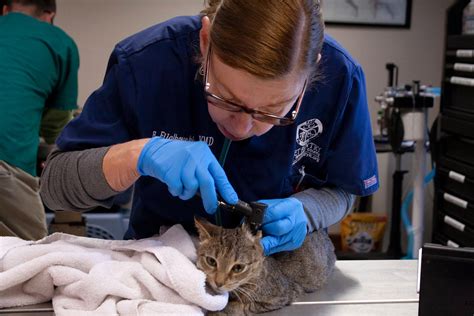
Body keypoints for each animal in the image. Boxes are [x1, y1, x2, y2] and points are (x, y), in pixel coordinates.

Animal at [193, 217, 336, 316]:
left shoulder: (281, 297)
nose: (218, 283)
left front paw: (222, 310)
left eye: (238, 268)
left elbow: (243, 306)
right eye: (211, 261)